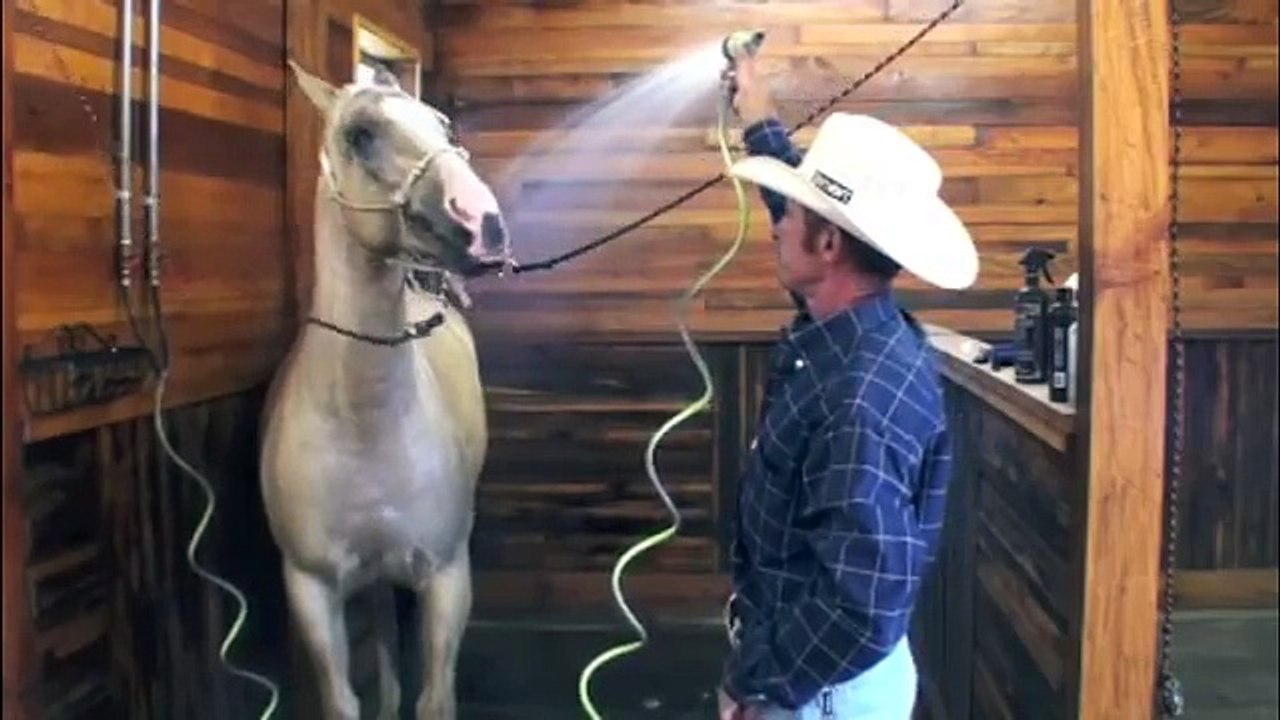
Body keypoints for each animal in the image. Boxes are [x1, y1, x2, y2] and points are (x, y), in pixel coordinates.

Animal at [259, 60, 508, 720]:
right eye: (360, 134)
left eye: (442, 125)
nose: (484, 224)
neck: (364, 427)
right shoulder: (311, 588)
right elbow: (345, 699)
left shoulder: (446, 577)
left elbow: (434, 698)